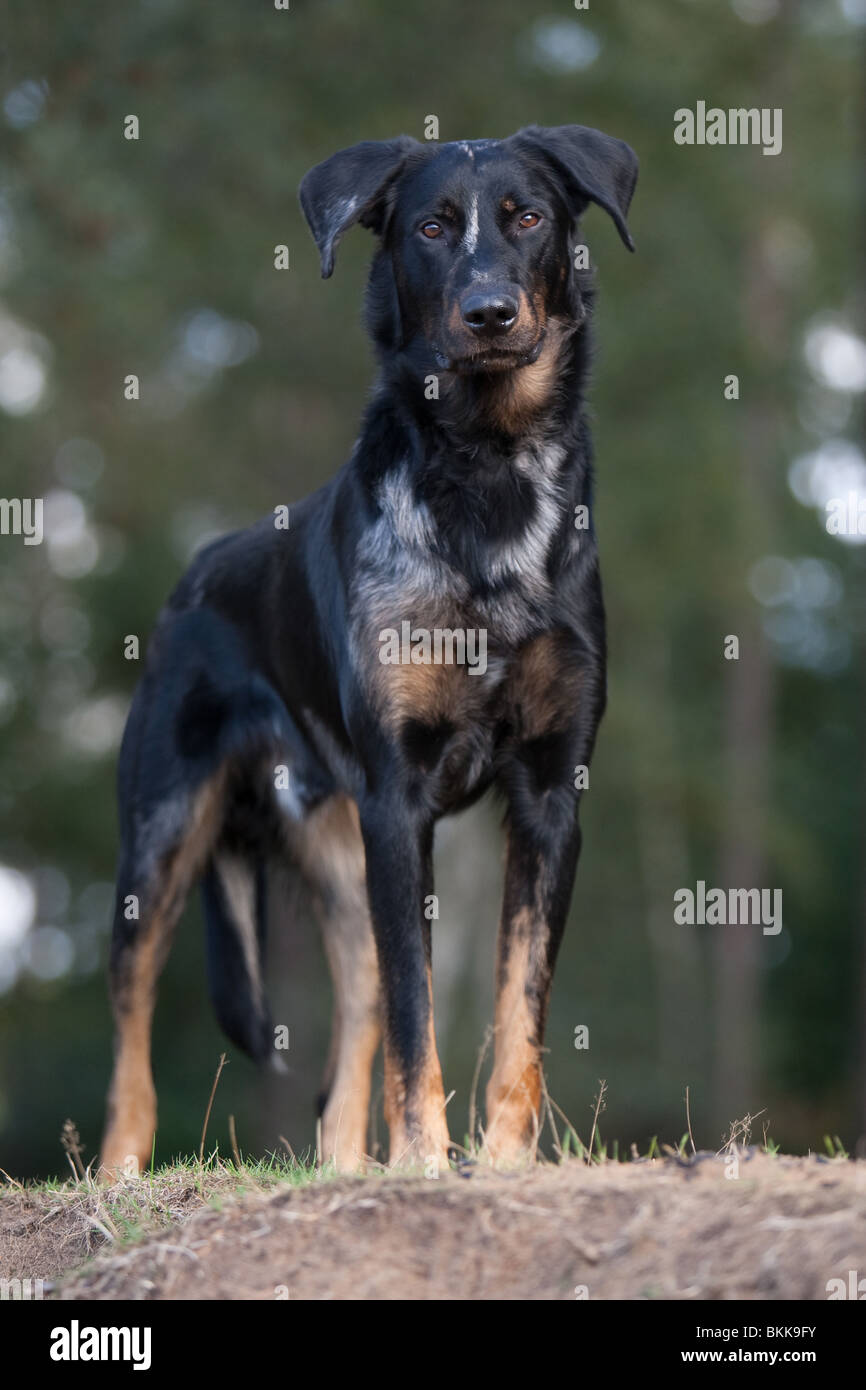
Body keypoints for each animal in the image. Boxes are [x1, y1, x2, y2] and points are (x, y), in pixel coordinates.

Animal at [101, 125, 639, 1178]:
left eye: (529, 218)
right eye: (430, 228)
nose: (488, 311)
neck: (487, 475)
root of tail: (193, 579)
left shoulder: (549, 797)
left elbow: (517, 1010)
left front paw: (503, 1162)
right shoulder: (402, 800)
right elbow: (415, 1017)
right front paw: (429, 1161)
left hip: (344, 870)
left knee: (351, 1034)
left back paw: (346, 1167)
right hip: (162, 838)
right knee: (134, 1033)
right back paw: (116, 1173)